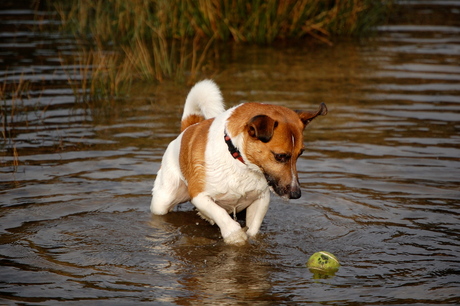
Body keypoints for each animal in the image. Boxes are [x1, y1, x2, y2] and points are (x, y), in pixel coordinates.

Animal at [152, 80, 328, 245]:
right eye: (280, 156)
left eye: (300, 153)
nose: (296, 194)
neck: (240, 162)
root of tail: (188, 128)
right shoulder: (199, 195)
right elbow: (220, 213)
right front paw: (234, 236)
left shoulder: (261, 199)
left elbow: (254, 227)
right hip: (163, 200)